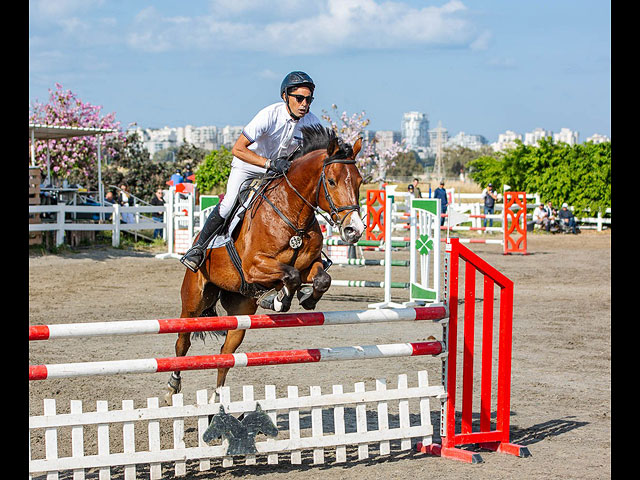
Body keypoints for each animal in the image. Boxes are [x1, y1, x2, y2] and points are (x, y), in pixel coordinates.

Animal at [165, 125, 364, 404]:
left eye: (359, 182)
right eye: (332, 181)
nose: (354, 230)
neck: (291, 213)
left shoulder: (310, 265)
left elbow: (320, 278)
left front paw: (304, 299)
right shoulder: (254, 266)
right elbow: (289, 275)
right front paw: (279, 299)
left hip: (240, 313)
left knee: (226, 355)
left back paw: (217, 402)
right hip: (194, 300)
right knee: (182, 343)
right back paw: (172, 387)